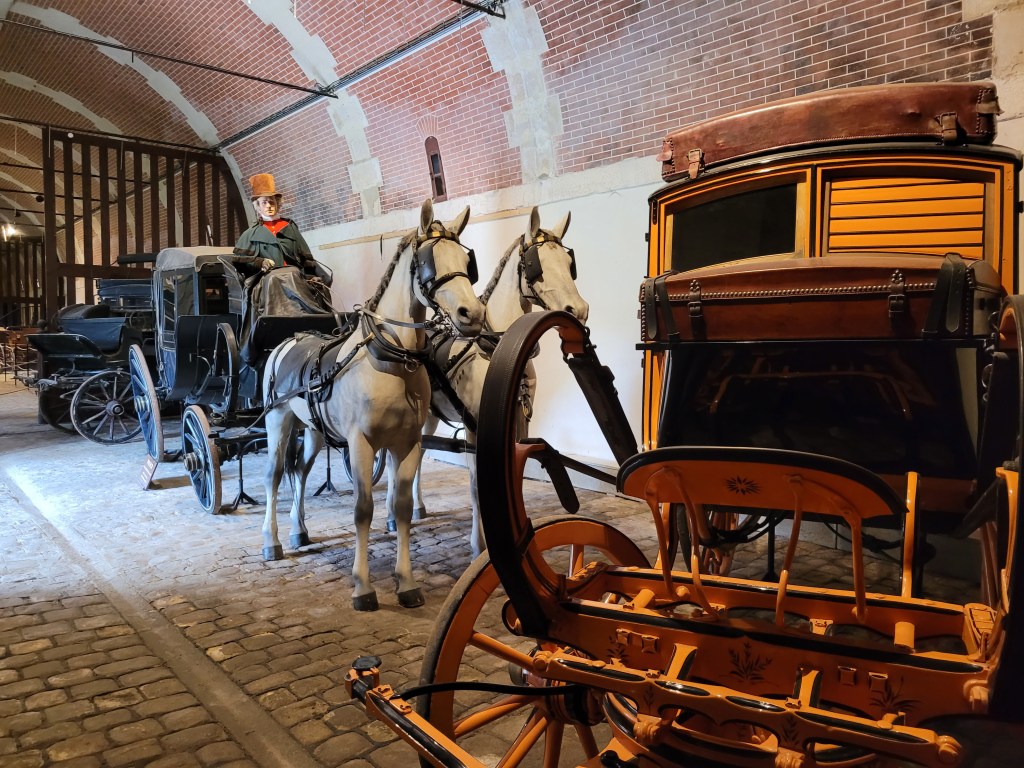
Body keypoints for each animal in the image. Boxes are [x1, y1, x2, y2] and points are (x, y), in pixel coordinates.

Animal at [260, 199, 484, 611]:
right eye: (428, 262)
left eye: (466, 260)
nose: (472, 315)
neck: (394, 359)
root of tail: (288, 340)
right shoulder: (361, 444)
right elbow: (363, 510)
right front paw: (363, 586)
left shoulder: (406, 443)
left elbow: (401, 507)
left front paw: (406, 581)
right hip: (278, 422)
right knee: (274, 475)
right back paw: (273, 541)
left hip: (315, 431)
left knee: (300, 471)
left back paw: (299, 530)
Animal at [411, 206, 589, 557]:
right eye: (534, 265)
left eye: (568, 262)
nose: (578, 310)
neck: (498, 348)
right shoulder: (474, 427)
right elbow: (475, 482)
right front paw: (479, 543)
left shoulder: (519, 420)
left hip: (430, 416)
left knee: (418, 454)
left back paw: (417, 505)